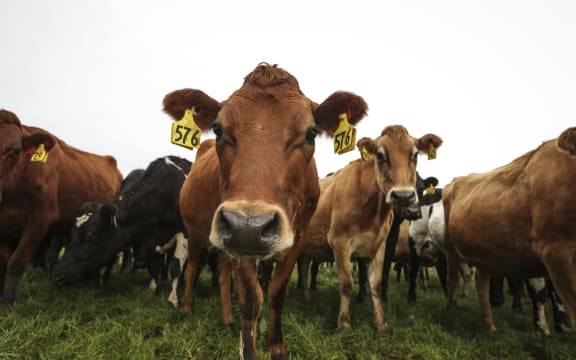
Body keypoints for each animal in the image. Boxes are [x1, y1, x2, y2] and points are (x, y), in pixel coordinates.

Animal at [0, 108, 122, 308]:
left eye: (16, 150)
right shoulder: (5, 222)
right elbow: (4, 260)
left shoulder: (40, 219)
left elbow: (17, 261)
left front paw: (6, 303)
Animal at [52, 156, 191, 302]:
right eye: (71, 233)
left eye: (91, 236)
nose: (57, 276)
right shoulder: (151, 238)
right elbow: (154, 265)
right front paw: (152, 290)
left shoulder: (185, 234)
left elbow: (176, 266)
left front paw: (173, 298)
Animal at [161, 63, 368, 358]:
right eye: (218, 130)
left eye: (311, 133)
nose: (249, 225)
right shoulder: (238, 240)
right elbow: (250, 299)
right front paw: (249, 348)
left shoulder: (297, 236)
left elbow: (277, 292)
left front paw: (276, 346)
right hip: (196, 232)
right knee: (191, 266)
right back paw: (187, 307)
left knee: (222, 273)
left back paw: (227, 320)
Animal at [296, 126, 440, 332]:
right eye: (380, 155)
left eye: (414, 154)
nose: (403, 196)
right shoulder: (340, 243)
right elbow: (347, 283)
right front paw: (344, 322)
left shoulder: (379, 246)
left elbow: (376, 284)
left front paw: (381, 323)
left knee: (304, 266)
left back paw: (306, 298)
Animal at [444, 126, 576, 332]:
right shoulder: (557, 252)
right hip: (449, 246)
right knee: (452, 278)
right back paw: (449, 311)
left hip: (483, 251)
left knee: (482, 283)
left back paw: (490, 326)